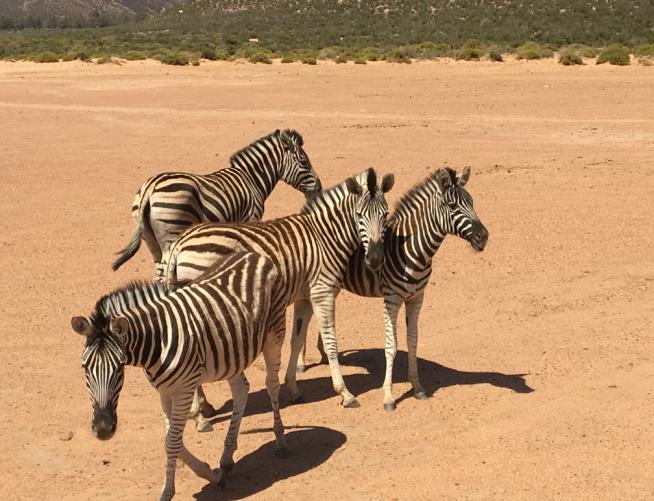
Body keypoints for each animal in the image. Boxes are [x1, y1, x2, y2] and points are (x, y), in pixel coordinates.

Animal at [70, 252, 290, 498]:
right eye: (84, 367)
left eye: (119, 367)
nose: (103, 429)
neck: (158, 340)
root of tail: (253, 254)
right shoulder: (165, 391)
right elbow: (171, 439)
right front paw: (212, 475)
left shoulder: (184, 389)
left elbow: (172, 442)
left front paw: (167, 492)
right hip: (232, 352)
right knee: (241, 391)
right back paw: (226, 458)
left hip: (274, 334)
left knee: (272, 384)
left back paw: (280, 441)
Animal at [113, 129, 322, 278]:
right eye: (303, 161)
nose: (319, 188)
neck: (252, 179)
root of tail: (150, 188)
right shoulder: (251, 217)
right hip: (173, 231)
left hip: (150, 238)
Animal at [164, 168, 398, 430]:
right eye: (359, 215)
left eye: (385, 214)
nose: (375, 259)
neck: (324, 236)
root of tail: (180, 242)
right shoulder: (323, 292)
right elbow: (331, 343)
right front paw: (345, 393)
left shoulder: (304, 298)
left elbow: (296, 340)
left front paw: (293, 388)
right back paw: (200, 416)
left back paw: (203, 408)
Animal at [294, 168, 490, 410]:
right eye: (453, 206)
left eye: (472, 202)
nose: (484, 237)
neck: (413, 249)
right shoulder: (392, 298)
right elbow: (391, 346)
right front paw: (388, 397)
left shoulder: (417, 297)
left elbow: (413, 341)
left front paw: (418, 388)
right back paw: (301, 363)